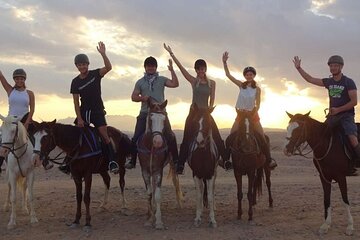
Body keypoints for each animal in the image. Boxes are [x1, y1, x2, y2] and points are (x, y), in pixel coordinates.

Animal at [138, 99, 183, 229]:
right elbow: (149, 193)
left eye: (164, 119)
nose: (158, 142)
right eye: (150, 119)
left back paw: (179, 204)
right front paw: (149, 219)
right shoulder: (145, 171)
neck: (151, 148)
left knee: (175, 181)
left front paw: (158, 221)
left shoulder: (158, 170)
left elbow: (157, 194)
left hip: (172, 164)